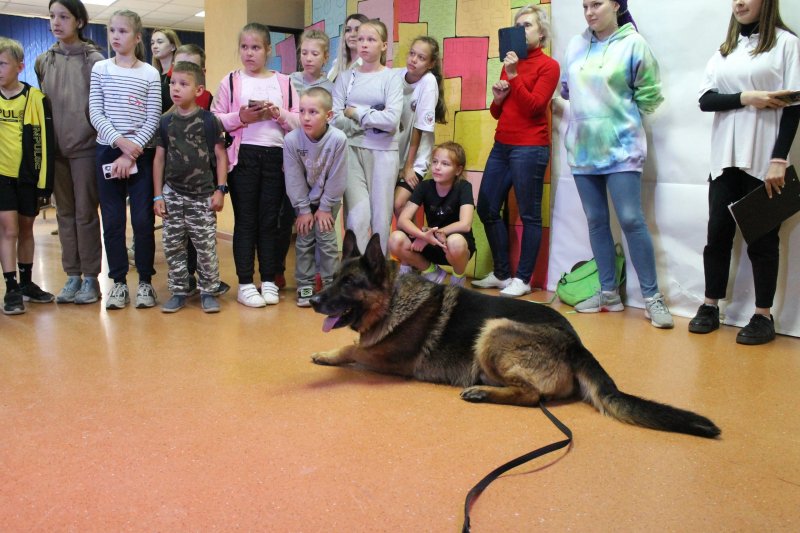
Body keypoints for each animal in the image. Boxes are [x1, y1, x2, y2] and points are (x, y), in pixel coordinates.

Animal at [310, 231, 720, 438]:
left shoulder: (384, 358)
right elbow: (351, 342)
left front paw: (326, 354)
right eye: (333, 278)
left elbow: (350, 348)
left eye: (349, 284)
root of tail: (576, 344)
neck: (392, 300)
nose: (313, 300)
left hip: (493, 330)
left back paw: (482, 392)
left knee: (531, 395)